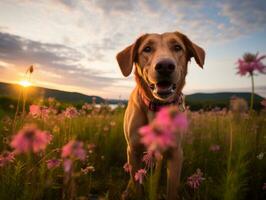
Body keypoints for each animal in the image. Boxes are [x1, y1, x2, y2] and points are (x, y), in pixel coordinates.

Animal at [116, 30, 206, 199]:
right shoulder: (133, 150)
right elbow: (138, 187)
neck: (157, 107)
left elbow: (172, 189)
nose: (165, 66)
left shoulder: (176, 153)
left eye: (177, 47)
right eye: (147, 48)